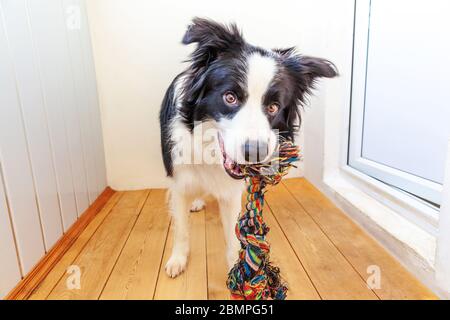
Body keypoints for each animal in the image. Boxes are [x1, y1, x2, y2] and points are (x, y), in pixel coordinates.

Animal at [160, 18, 336, 278]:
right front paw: (178, 260)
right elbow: (181, 227)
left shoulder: (230, 192)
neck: (210, 155)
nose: (255, 153)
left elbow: (233, 233)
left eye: (273, 107)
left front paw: (238, 267)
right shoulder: (179, 180)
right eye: (230, 97)